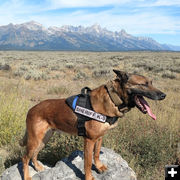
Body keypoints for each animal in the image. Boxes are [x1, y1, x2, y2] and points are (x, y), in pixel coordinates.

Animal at [20, 70, 166, 180]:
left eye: (151, 82)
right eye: (143, 84)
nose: (163, 95)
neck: (113, 99)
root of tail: (31, 109)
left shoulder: (99, 137)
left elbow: (96, 154)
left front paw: (99, 166)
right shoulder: (89, 140)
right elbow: (88, 162)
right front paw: (89, 177)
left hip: (44, 139)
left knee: (34, 155)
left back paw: (38, 167)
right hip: (35, 140)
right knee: (25, 158)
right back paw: (27, 177)